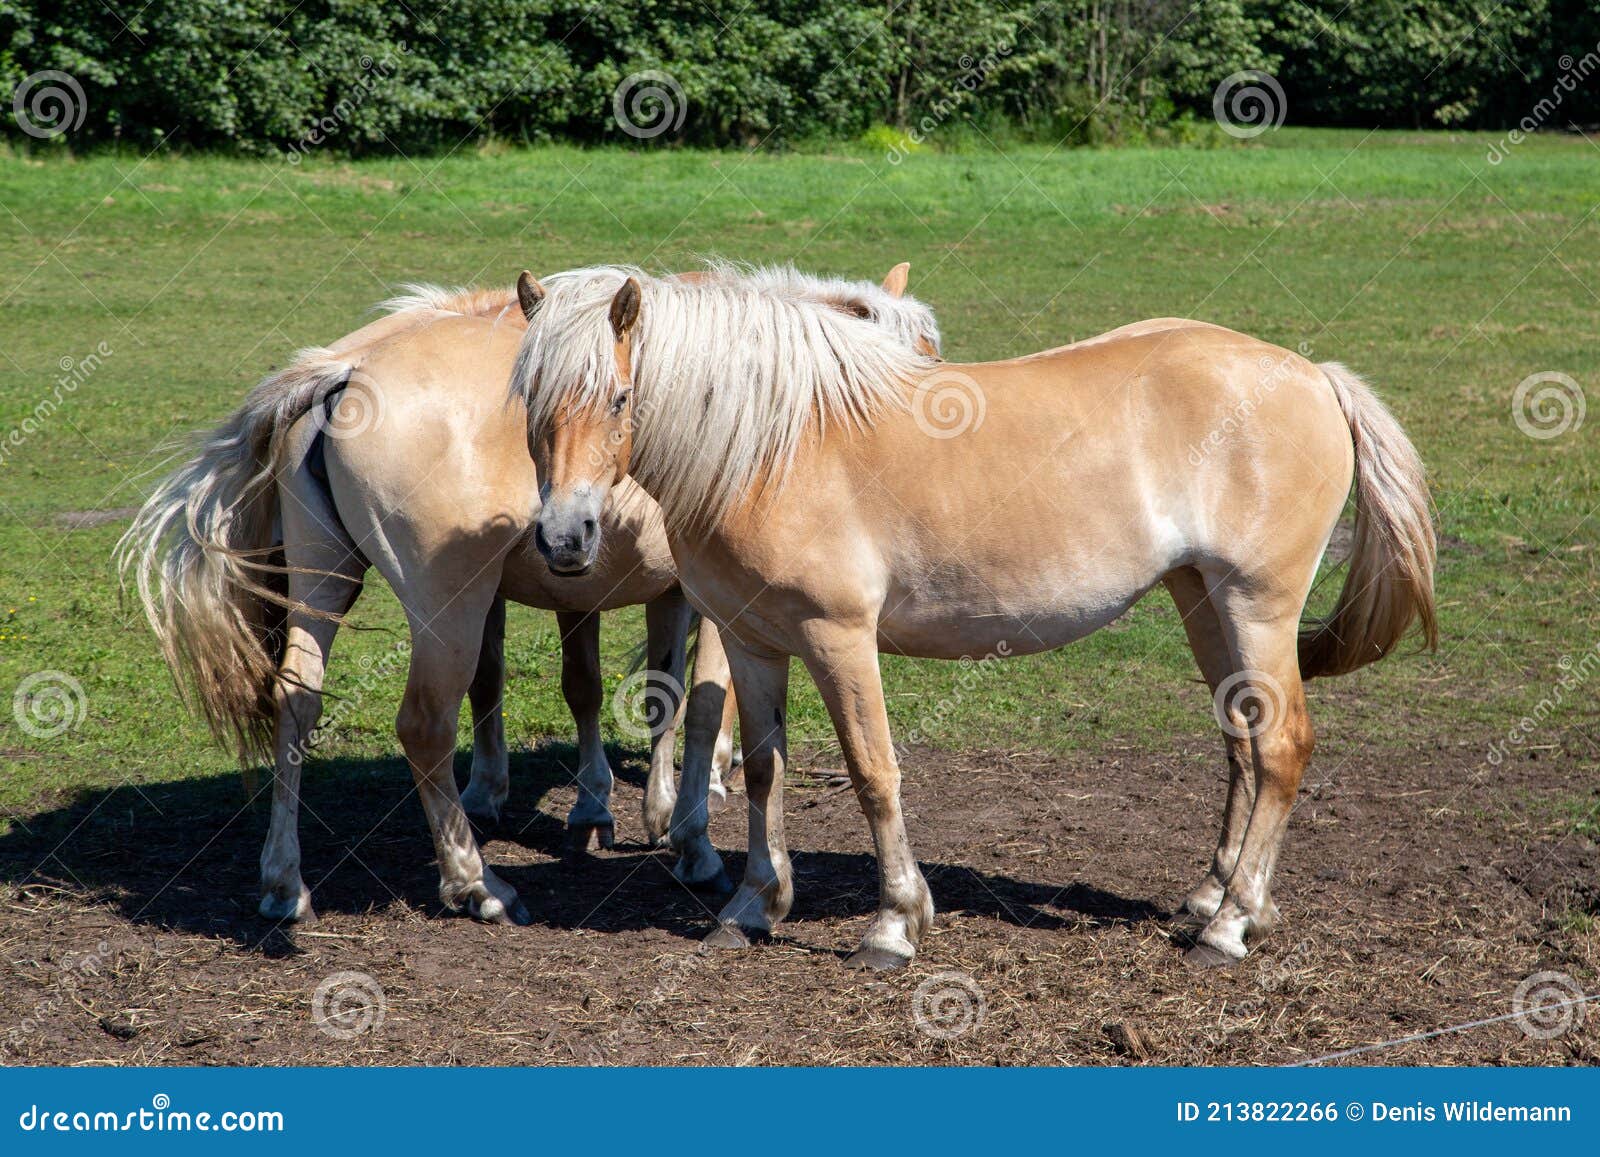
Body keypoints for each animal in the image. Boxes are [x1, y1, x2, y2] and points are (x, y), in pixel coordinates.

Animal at [119, 263, 941, 927]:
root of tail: (344, 372)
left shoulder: (649, 589)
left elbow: (650, 693)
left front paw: (645, 806)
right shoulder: (713, 602)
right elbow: (704, 701)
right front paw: (694, 836)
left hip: (325, 584)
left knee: (297, 702)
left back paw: (285, 883)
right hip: (446, 609)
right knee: (424, 724)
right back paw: (476, 884)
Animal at [512, 267, 1437, 969]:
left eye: (619, 397)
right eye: (529, 403)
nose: (564, 536)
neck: (774, 443)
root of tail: (1314, 375)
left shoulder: (839, 638)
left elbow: (873, 771)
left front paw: (893, 925)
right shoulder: (750, 639)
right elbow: (766, 769)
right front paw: (752, 905)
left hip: (1256, 605)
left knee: (1281, 747)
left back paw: (1231, 924)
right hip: (1203, 601)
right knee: (1242, 739)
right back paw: (1215, 895)